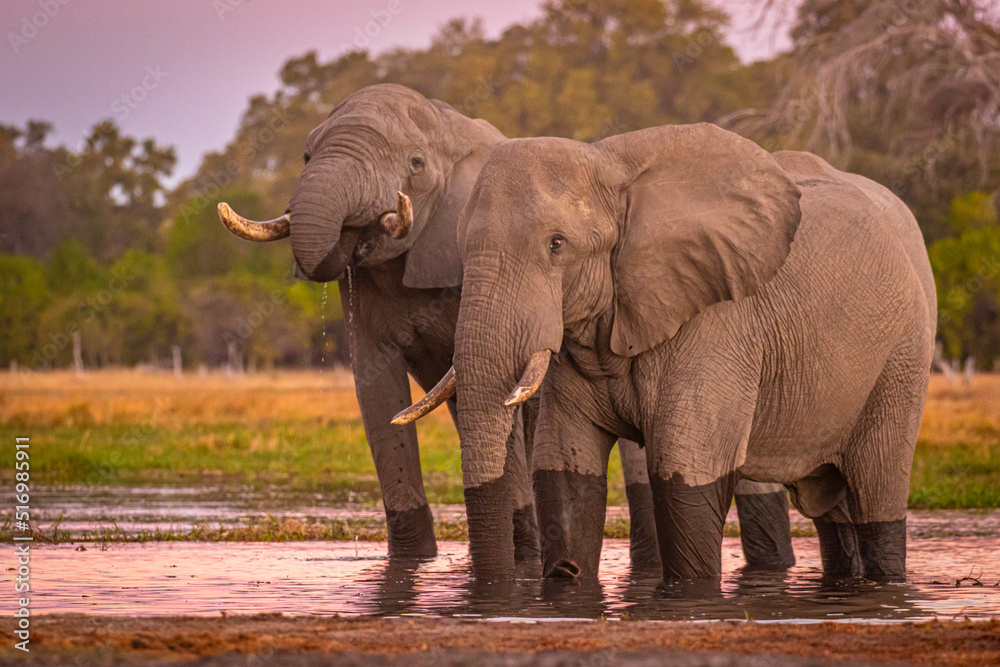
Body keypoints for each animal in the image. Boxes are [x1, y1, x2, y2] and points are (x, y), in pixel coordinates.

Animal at [216, 81, 692, 568]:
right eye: (307, 155)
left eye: (416, 163)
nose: (357, 230)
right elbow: (376, 389)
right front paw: (413, 561)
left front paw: (519, 558)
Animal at [402, 122, 932, 580]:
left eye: (556, 244)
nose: (504, 587)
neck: (611, 168)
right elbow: (564, 469)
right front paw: (569, 576)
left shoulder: (718, 321)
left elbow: (686, 475)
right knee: (832, 511)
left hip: (903, 356)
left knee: (876, 491)